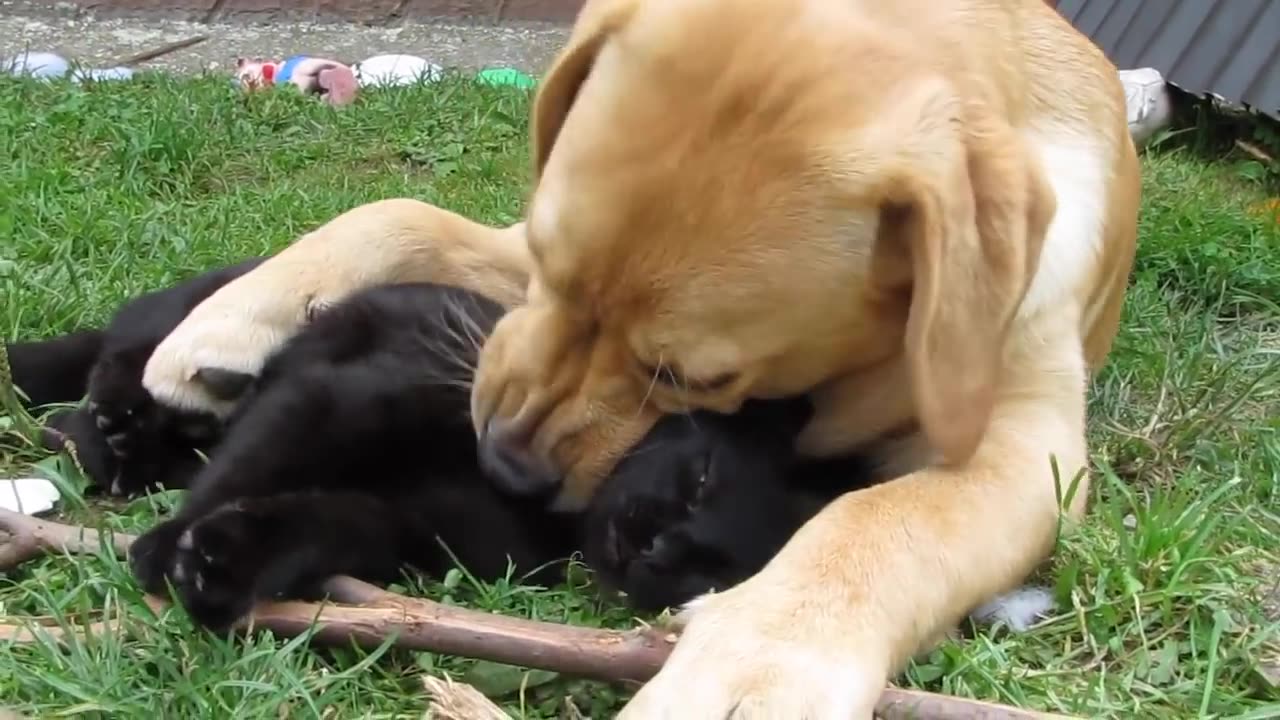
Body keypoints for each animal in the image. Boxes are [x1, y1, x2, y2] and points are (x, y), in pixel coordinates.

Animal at [145, 0, 1136, 712]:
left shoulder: (1026, 450)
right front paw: (224, 321)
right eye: (552, 270)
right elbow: (399, 210)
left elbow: (880, 524)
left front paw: (754, 666)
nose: (502, 467)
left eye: (698, 379)